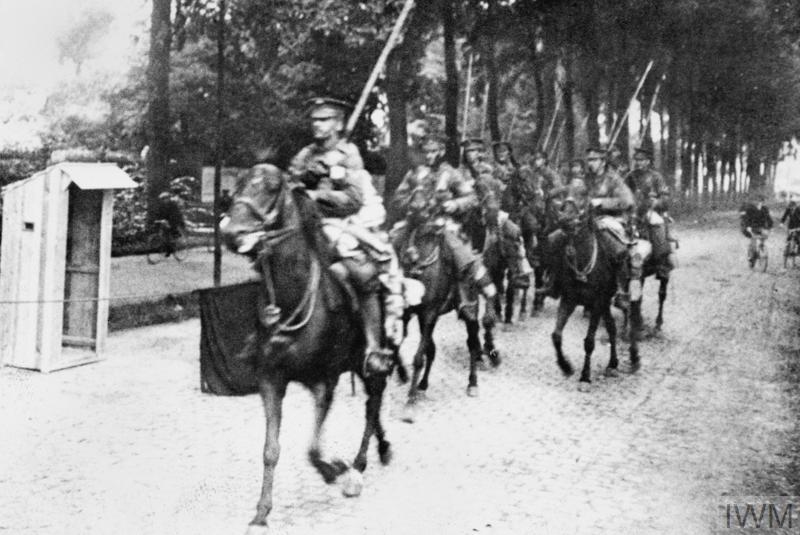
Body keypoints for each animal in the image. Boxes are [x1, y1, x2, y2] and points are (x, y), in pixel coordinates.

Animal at [222, 165, 394, 532]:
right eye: (237, 186)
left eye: (271, 188)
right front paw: (261, 514)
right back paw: (382, 449)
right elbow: (271, 449)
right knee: (374, 406)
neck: (293, 296)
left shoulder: (325, 380)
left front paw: (336, 469)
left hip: (370, 361)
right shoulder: (271, 380)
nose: (231, 232)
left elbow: (313, 448)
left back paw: (358, 466)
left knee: (373, 402)